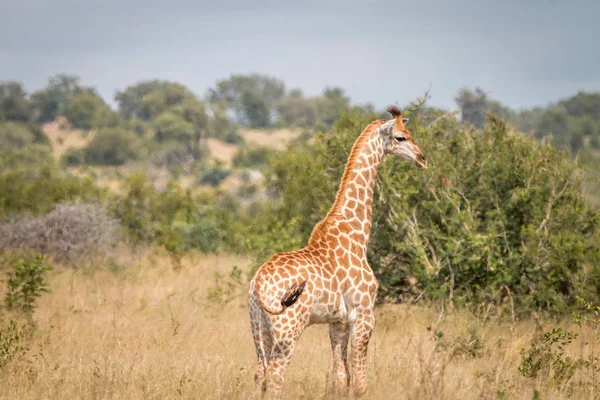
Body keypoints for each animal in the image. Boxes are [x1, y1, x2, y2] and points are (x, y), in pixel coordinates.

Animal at [248, 104, 426, 398]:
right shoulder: (364, 314)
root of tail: (258, 284)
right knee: (275, 377)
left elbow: (340, 378)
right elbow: (361, 381)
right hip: (288, 330)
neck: (357, 234)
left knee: (259, 374)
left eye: (411, 134)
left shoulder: (338, 322)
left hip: (258, 329)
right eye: (400, 137)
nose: (422, 158)